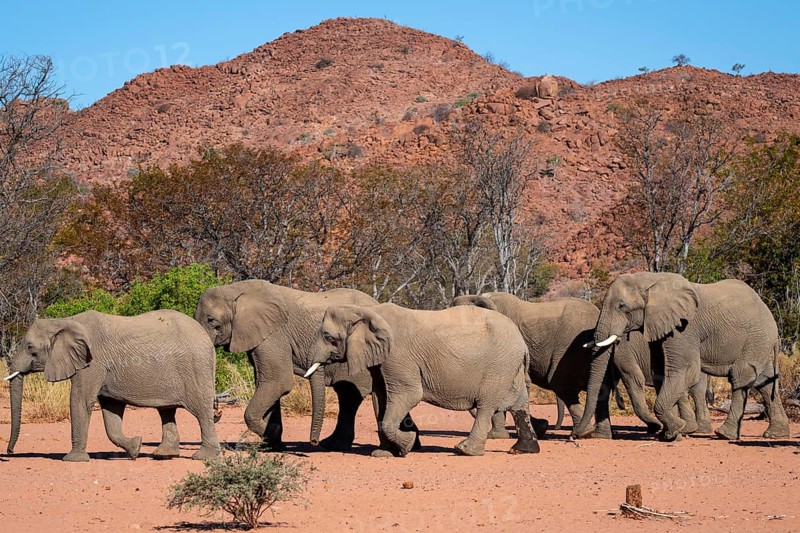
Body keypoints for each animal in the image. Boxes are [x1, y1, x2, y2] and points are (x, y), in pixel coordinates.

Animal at [5, 310, 220, 462]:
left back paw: (204, 457)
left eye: (31, 348)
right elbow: (111, 410)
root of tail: (205, 336)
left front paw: (73, 460)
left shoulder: (92, 362)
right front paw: (135, 448)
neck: (64, 320)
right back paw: (163, 455)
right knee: (167, 410)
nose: (10, 451)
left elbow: (80, 400)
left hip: (195, 367)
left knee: (201, 410)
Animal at [194, 280, 417, 451]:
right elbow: (267, 383)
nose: (217, 413)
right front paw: (273, 444)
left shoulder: (274, 335)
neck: (235, 290)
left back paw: (332, 445)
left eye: (211, 320)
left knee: (348, 395)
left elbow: (278, 382)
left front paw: (272, 433)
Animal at [305, 303, 541, 457]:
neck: (368, 311)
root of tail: (522, 342)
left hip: (498, 365)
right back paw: (523, 450)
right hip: (509, 365)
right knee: (520, 403)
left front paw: (406, 446)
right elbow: (380, 398)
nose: (315, 442)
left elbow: (408, 395)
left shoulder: (398, 355)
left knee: (486, 405)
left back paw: (464, 450)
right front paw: (383, 453)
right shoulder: (381, 359)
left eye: (328, 337)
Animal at [575, 272, 789, 441]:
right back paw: (775, 433)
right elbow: (662, 372)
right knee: (765, 382)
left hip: (756, 337)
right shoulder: (660, 326)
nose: (576, 435)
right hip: (760, 342)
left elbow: (682, 371)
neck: (651, 279)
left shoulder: (683, 328)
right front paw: (675, 431)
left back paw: (724, 434)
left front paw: (675, 430)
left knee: (741, 377)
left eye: (622, 306)